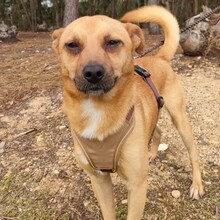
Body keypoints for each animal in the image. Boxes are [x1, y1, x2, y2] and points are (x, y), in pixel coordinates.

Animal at [52, 5, 204, 220]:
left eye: (112, 42)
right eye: (72, 45)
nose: (92, 73)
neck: (98, 109)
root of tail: (159, 57)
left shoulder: (137, 186)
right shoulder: (99, 180)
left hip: (180, 119)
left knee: (193, 153)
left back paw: (197, 185)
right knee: (157, 131)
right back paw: (151, 153)